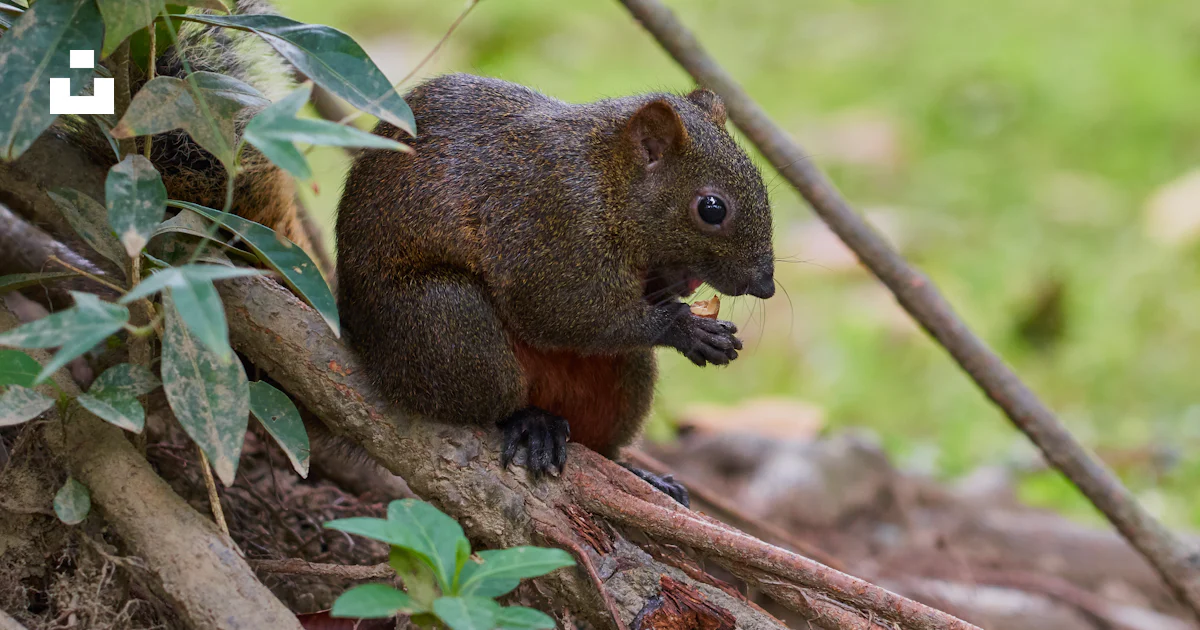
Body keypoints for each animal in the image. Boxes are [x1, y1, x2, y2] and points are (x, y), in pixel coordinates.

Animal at [336, 74, 776, 505]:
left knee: (600, 438)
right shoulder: (551, 225)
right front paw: (686, 329)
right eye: (712, 209)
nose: (766, 286)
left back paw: (640, 474)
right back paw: (530, 421)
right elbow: (557, 312)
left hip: (624, 373)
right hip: (441, 320)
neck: (608, 180)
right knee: (479, 399)